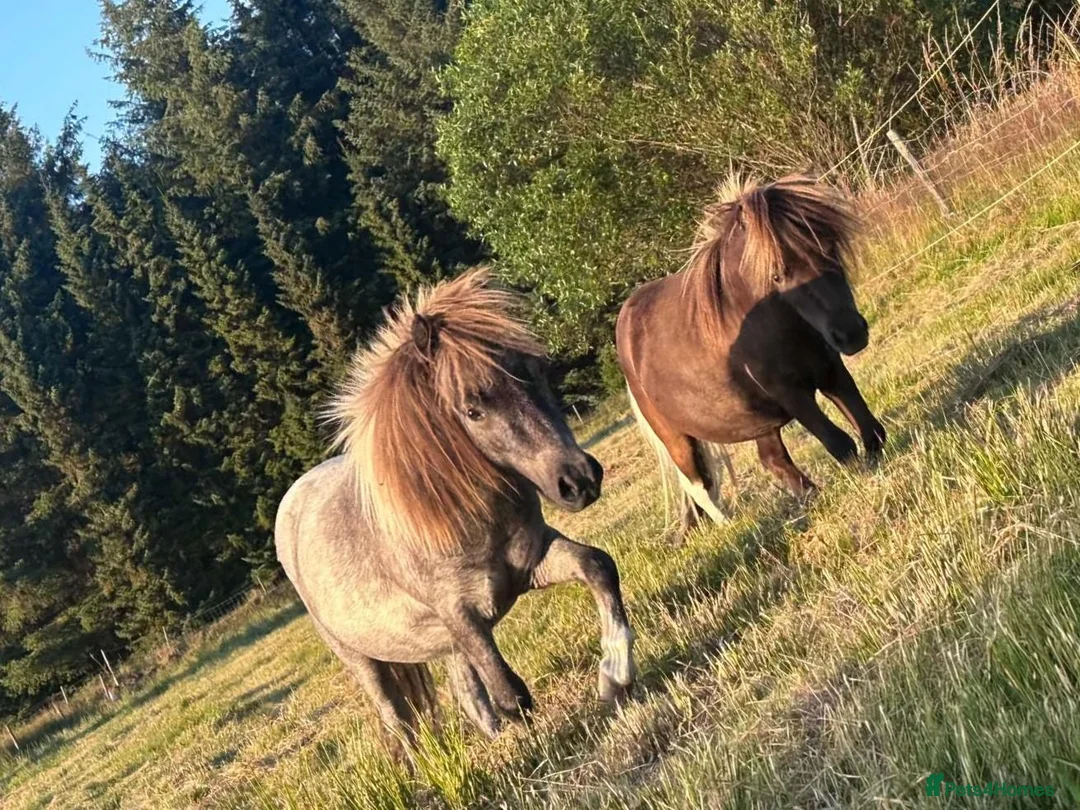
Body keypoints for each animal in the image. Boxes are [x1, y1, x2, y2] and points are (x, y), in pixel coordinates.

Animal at [275, 269, 636, 748]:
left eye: (537, 371)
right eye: (472, 410)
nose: (579, 480)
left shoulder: (532, 564)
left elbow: (598, 566)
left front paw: (615, 675)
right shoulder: (461, 614)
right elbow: (512, 697)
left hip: (444, 642)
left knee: (467, 692)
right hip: (362, 658)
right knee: (398, 719)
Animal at [615, 175, 886, 534]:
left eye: (828, 248)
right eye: (777, 274)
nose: (851, 333)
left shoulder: (831, 371)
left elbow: (870, 429)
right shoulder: (792, 394)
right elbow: (839, 443)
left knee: (771, 460)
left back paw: (809, 497)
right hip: (677, 437)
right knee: (698, 486)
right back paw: (729, 525)